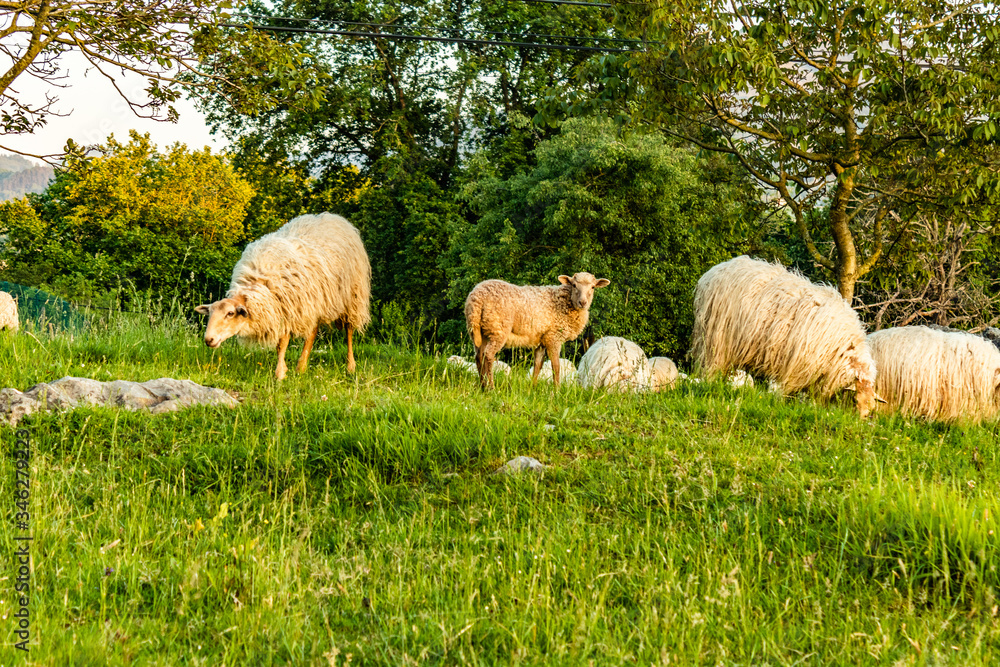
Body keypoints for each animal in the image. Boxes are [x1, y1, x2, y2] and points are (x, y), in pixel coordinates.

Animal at [195, 213, 371, 380]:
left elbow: (282, 344)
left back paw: (350, 366)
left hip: (353, 297)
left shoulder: (288, 309)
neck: (258, 283)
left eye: (230, 313)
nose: (208, 340)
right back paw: (301, 367)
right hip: (315, 302)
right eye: (210, 313)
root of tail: (334, 217)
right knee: (312, 332)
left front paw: (279, 374)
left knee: (349, 331)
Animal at [464, 273, 610, 389]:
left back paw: (483, 386)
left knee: (479, 356)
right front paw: (556, 390)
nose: (582, 302)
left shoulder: (541, 341)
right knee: (488, 355)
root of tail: (477, 297)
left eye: (593, 287)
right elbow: (556, 366)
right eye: (574, 285)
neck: (565, 302)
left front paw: (533, 388)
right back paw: (491, 388)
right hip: (498, 329)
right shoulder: (553, 337)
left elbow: (538, 365)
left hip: (480, 331)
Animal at [690, 256, 879, 417]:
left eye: (871, 407)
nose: (861, 421)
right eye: (855, 400)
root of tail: (713, 271)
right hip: (714, 338)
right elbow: (786, 390)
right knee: (710, 366)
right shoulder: (798, 366)